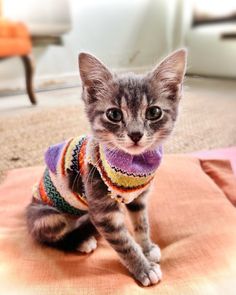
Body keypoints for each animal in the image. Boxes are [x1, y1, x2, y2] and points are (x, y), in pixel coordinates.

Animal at [26, 49, 186, 288]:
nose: (136, 134)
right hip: (48, 218)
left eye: (154, 112)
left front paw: (147, 248)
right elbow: (124, 242)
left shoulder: (138, 199)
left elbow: (142, 224)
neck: (132, 165)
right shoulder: (102, 208)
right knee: (47, 239)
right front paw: (144, 268)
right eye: (114, 114)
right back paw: (80, 241)